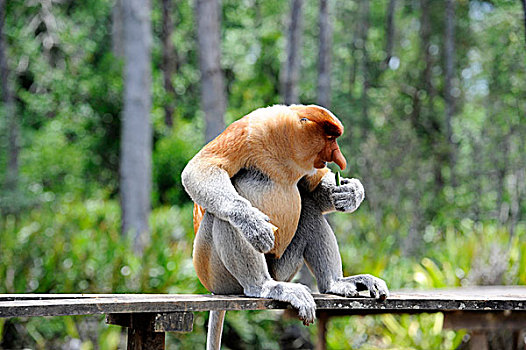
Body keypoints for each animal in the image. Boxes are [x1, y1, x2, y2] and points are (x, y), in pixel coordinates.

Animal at [184, 104, 390, 350]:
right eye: (330, 138)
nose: (339, 159)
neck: (288, 148)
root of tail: (212, 288)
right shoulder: (248, 132)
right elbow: (200, 169)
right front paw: (253, 224)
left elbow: (311, 189)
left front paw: (351, 193)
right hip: (214, 272)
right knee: (222, 216)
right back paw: (264, 286)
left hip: (283, 268)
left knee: (309, 208)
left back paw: (337, 283)